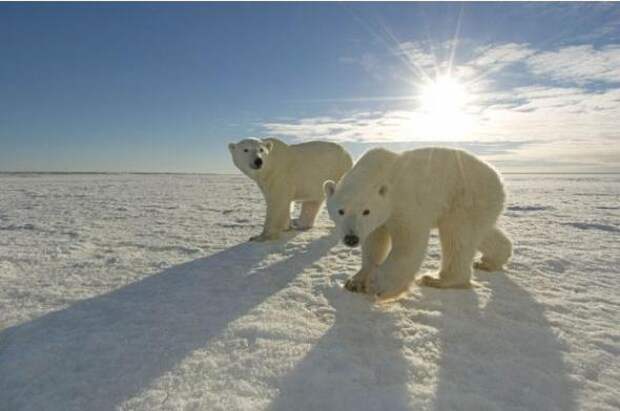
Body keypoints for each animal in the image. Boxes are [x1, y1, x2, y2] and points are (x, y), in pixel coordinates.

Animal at [322, 147, 512, 300]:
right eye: (341, 211)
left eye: (366, 211)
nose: (351, 238)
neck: (378, 172)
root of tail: (498, 178)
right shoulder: (376, 221)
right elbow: (374, 243)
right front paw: (355, 281)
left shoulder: (403, 202)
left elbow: (409, 241)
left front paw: (380, 285)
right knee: (479, 233)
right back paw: (489, 261)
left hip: (466, 195)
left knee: (457, 235)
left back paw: (438, 279)